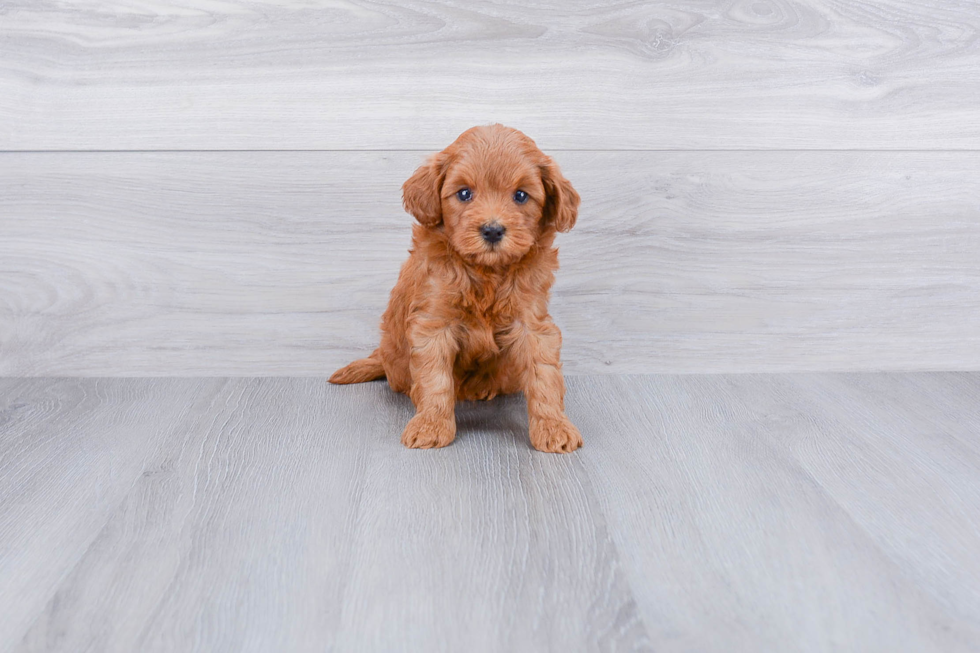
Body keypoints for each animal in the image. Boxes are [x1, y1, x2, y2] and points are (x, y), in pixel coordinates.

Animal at [334, 123, 584, 454]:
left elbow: (544, 374)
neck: (486, 273)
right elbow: (435, 379)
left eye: (521, 195)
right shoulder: (432, 323)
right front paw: (430, 425)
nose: (492, 230)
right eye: (464, 193)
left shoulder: (533, 323)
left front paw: (554, 426)